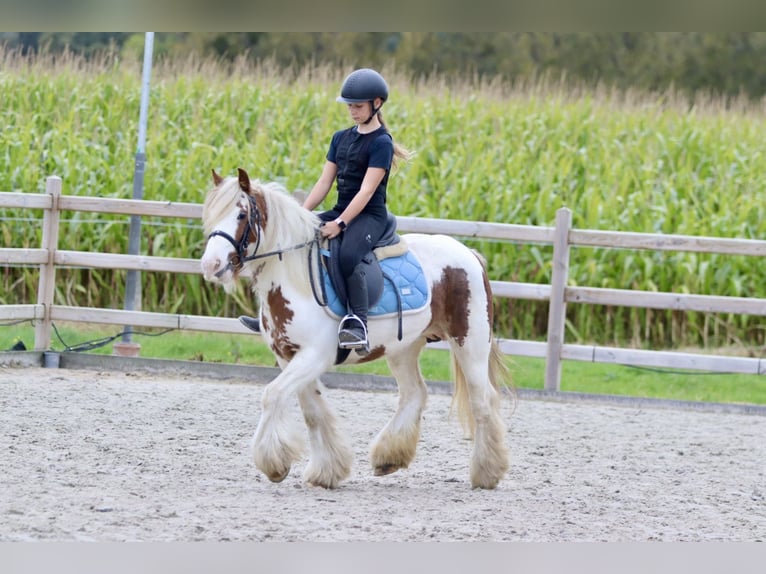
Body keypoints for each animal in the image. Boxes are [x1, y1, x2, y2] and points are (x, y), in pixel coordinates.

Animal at [201, 168, 510, 490]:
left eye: (241, 214)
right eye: (211, 214)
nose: (211, 265)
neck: (295, 280)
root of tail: (469, 254)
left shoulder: (314, 355)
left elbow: (272, 395)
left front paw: (273, 464)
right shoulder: (287, 357)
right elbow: (313, 412)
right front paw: (327, 470)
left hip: (470, 343)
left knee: (482, 399)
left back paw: (487, 472)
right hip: (403, 348)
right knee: (415, 393)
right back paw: (389, 458)